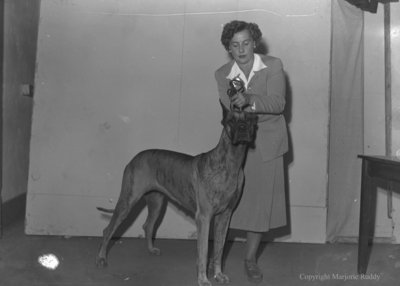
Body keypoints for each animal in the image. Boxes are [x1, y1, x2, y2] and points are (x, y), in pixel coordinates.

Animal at [95, 101, 258, 284]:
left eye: (249, 120)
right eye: (232, 120)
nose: (243, 127)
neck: (231, 164)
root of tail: (134, 158)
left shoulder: (225, 216)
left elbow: (219, 249)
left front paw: (218, 274)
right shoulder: (204, 217)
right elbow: (203, 251)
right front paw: (203, 279)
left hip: (156, 203)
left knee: (148, 225)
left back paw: (151, 249)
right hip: (127, 201)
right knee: (108, 230)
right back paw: (101, 258)